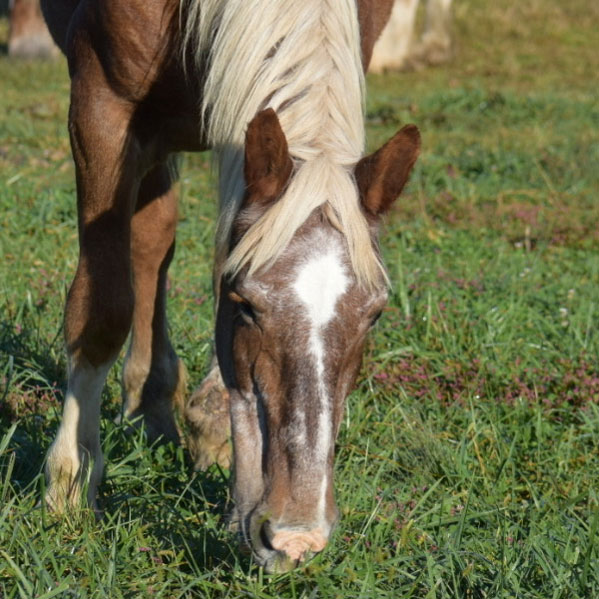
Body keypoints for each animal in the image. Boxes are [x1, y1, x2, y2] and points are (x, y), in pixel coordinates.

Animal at [41, 0, 422, 572]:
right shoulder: (101, 108)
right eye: (246, 305)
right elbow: (103, 309)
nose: (296, 535)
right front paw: (71, 480)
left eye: (374, 314)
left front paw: (214, 433)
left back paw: (156, 405)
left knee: (154, 242)